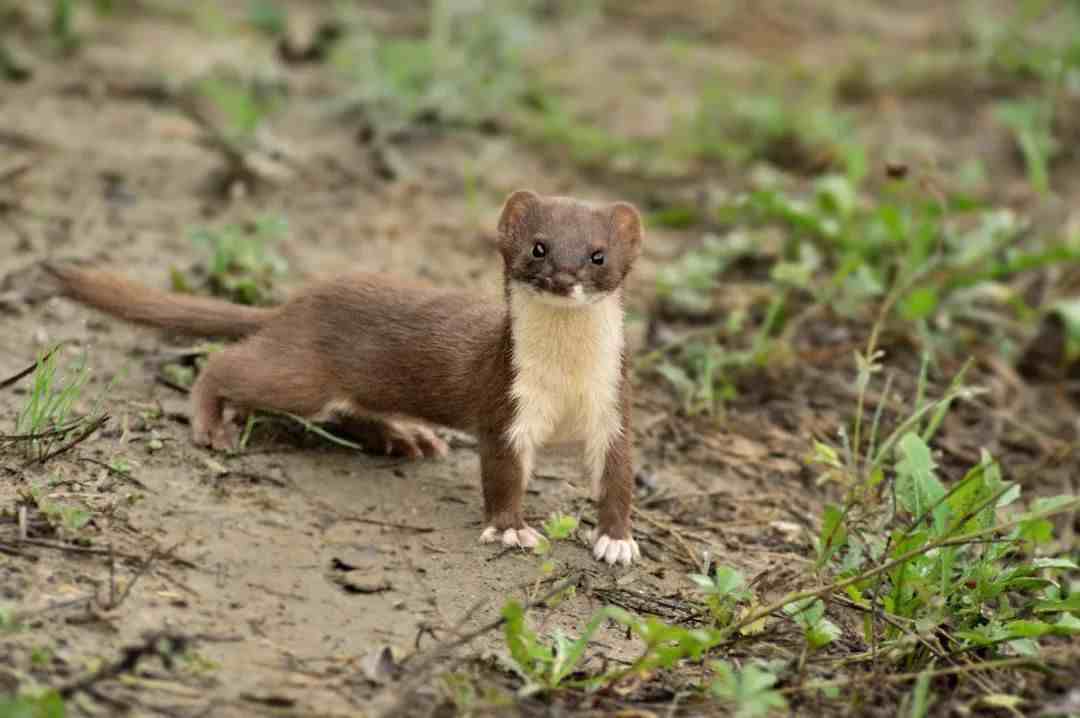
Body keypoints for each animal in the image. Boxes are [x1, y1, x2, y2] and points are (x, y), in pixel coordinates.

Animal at [46, 190, 639, 565]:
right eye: (538, 246)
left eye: (597, 255)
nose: (563, 278)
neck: (566, 378)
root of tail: (296, 302)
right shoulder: (505, 405)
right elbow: (501, 475)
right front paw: (511, 528)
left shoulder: (613, 408)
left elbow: (618, 478)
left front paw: (617, 541)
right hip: (299, 376)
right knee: (225, 365)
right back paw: (212, 424)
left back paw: (406, 436)